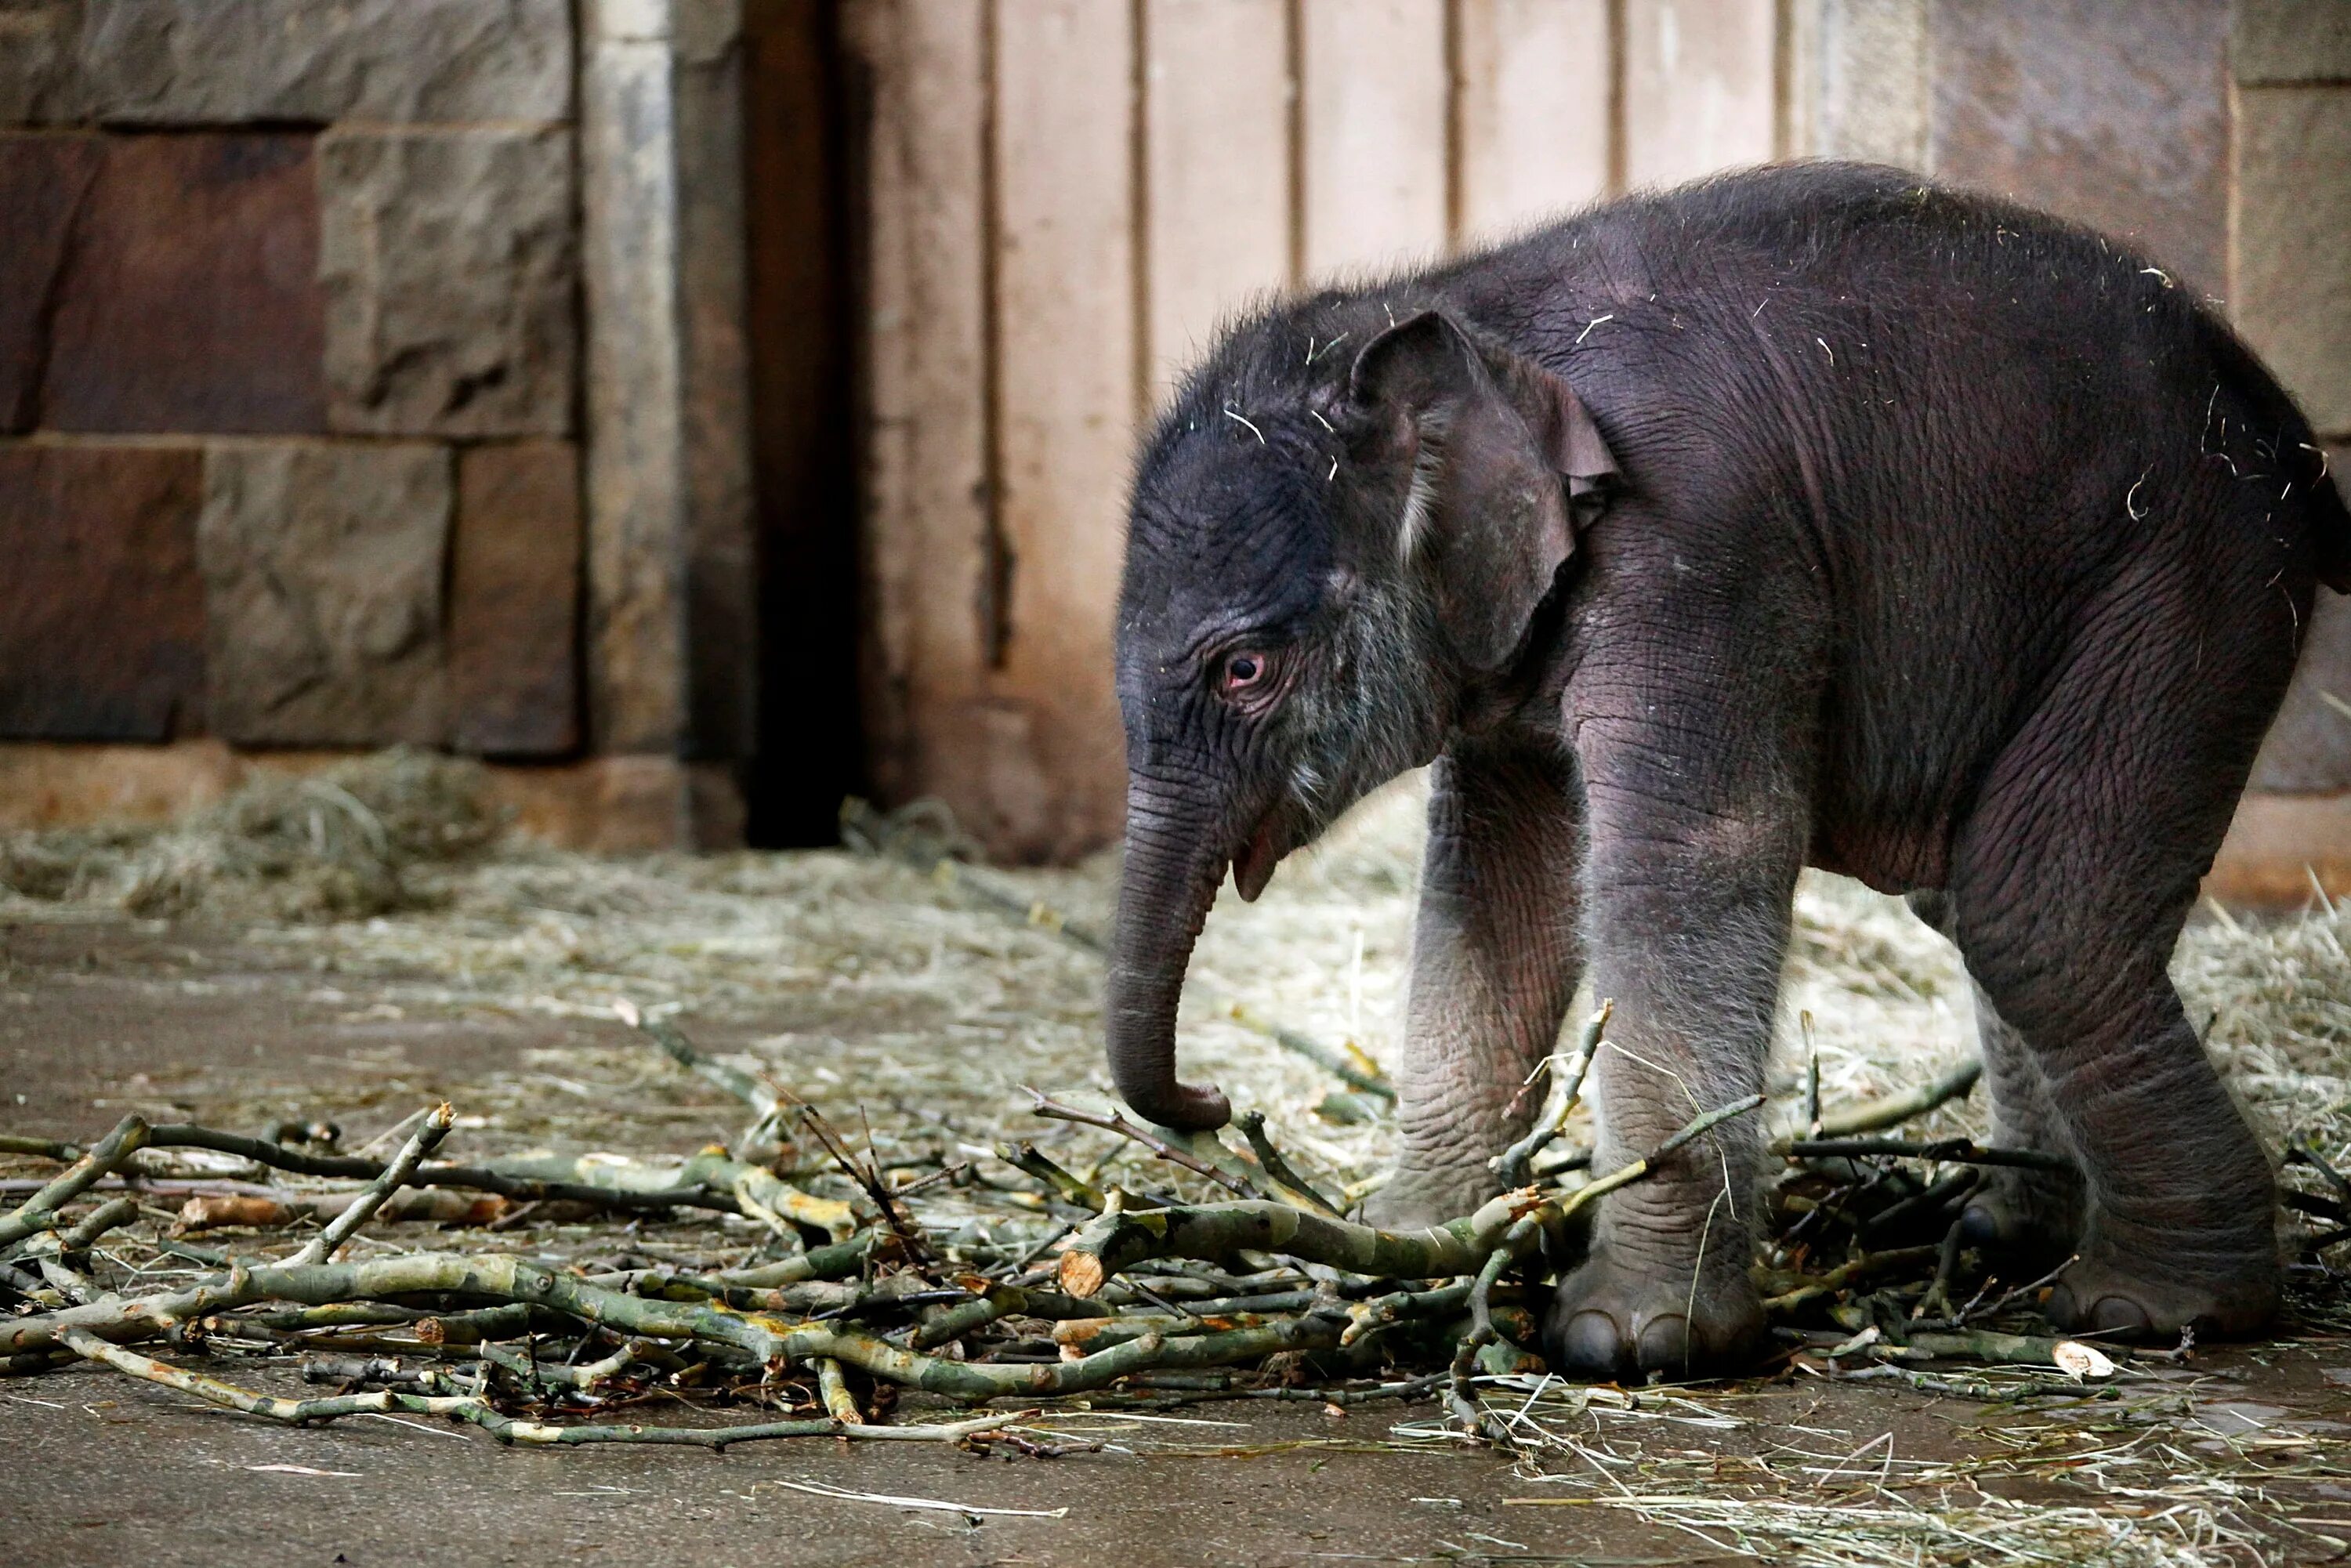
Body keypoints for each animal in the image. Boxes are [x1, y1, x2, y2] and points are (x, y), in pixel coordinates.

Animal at [1105, 165, 2351, 1382]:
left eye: (1243, 670)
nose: (1216, 1100)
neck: (1460, 306)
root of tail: (2280, 415)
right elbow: (1500, 896)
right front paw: (1402, 1243)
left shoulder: (1701, 555)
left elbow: (1683, 864)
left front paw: (1632, 1343)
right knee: (1974, 899)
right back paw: (2012, 1236)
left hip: (2189, 582)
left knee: (2040, 911)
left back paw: (2158, 1307)